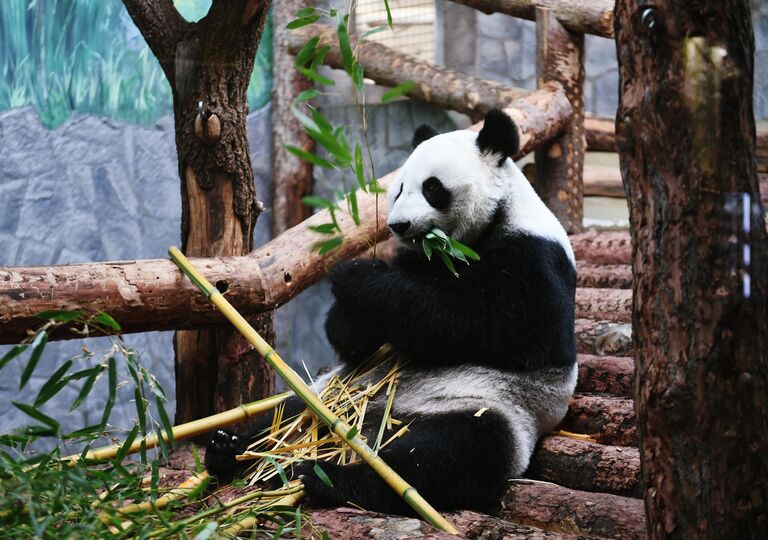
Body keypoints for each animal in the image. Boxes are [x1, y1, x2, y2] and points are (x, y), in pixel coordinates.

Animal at [206, 108, 576, 516]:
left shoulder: (533, 257)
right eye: (398, 189)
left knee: (449, 453)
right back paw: (230, 449)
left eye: (432, 188)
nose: (398, 224)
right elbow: (353, 339)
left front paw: (357, 277)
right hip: (327, 393)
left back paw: (327, 478)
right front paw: (352, 318)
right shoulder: (418, 258)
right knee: (285, 414)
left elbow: (503, 328)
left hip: (489, 408)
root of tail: (366, 429)